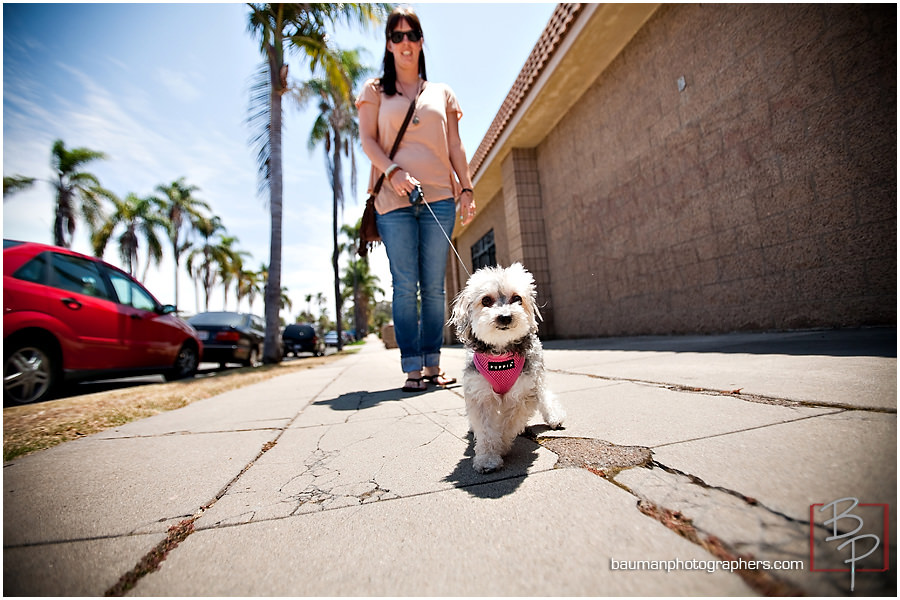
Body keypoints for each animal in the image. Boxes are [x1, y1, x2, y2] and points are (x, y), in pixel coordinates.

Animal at [448, 262, 564, 474]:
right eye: (486, 300)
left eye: (517, 298)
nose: (505, 317)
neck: (501, 355)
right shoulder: (480, 393)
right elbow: (486, 430)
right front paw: (488, 458)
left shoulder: (523, 393)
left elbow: (509, 423)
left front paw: (501, 446)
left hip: (537, 377)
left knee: (545, 395)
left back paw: (554, 417)